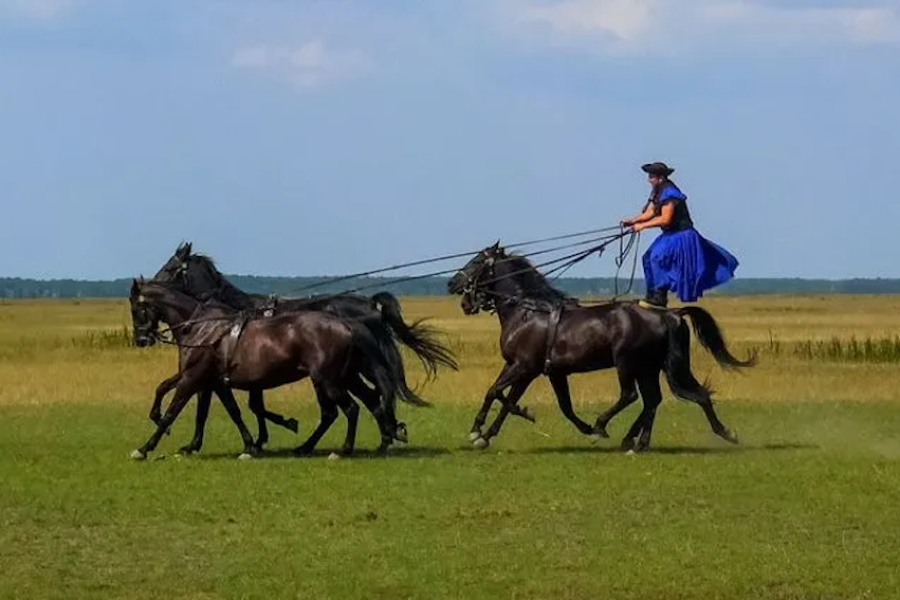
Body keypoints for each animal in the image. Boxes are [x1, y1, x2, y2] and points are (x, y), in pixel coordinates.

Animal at [127, 278, 404, 460]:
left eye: (136, 308)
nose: (141, 339)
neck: (203, 328)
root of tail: (347, 324)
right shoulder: (212, 381)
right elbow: (225, 411)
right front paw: (247, 445)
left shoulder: (192, 379)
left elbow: (173, 411)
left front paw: (144, 448)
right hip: (344, 377)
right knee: (367, 402)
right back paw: (380, 440)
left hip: (328, 380)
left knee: (349, 408)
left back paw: (344, 449)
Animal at [446, 241, 756, 452]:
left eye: (475, 261)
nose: (452, 284)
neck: (527, 312)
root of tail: (670, 314)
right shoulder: (541, 371)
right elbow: (548, 404)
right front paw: (490, 432)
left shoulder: (523, 366)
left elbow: (495, 392)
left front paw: (478, 431)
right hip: (650, 367)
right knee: (665, 399)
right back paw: (642, 440)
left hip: (627, 363)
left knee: (632, 396)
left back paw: (605, 427)